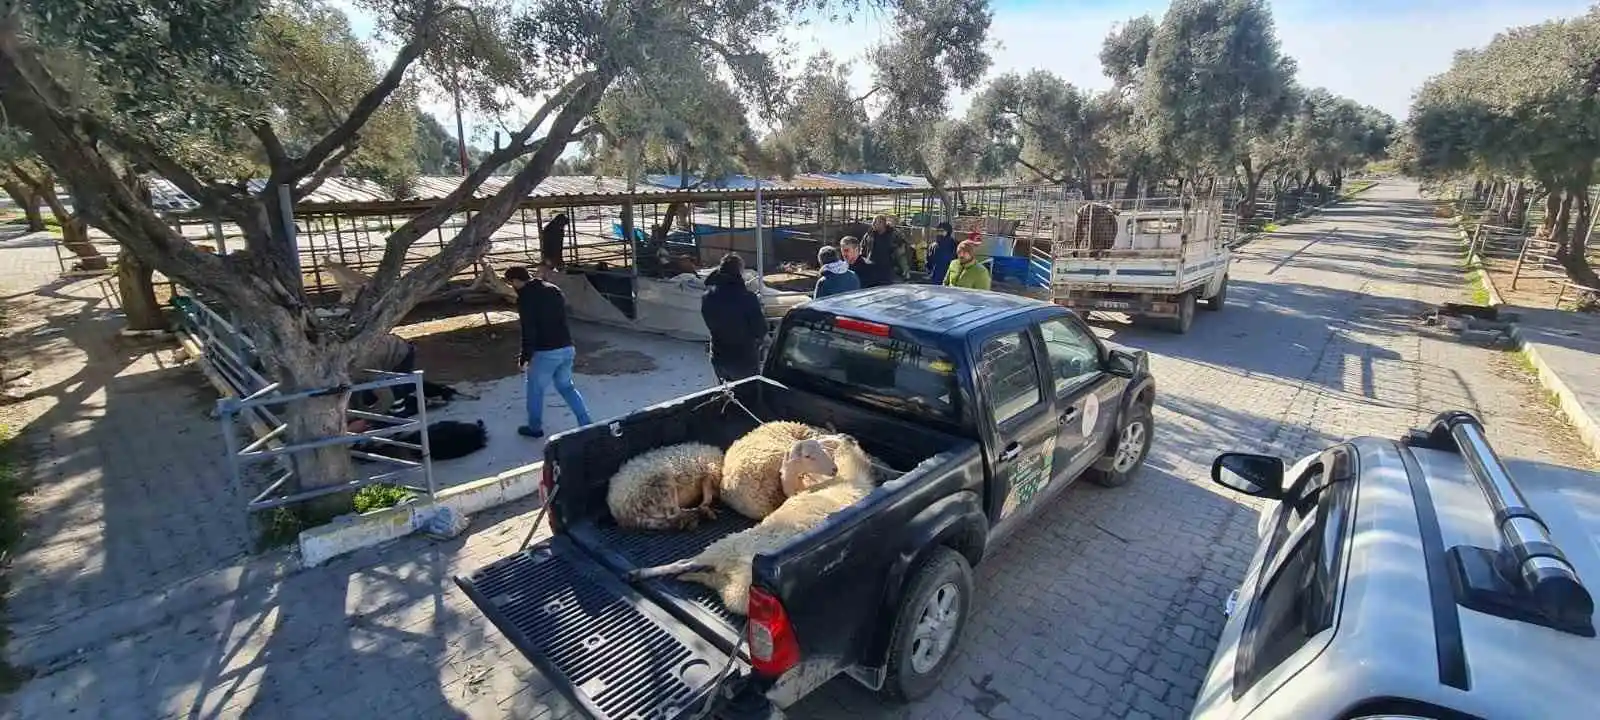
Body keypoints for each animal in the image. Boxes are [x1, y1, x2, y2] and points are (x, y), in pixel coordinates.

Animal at [624, 432, 876, 614]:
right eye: (811, 454)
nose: (847, 437)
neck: (851, 477)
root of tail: (730, 568)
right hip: (730, 570)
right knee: (699, 572)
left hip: (730, 567)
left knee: (691, 567)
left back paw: (660, 574)